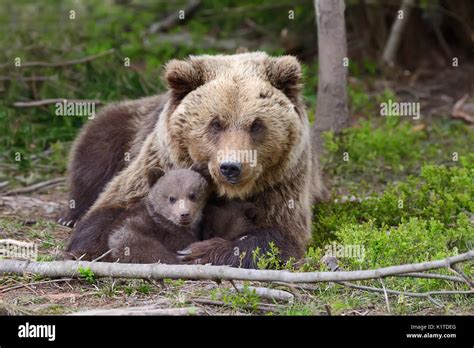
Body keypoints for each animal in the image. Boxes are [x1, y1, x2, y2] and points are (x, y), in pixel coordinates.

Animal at [64, 51, 326, 266]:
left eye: (256, 125)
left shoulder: (283, 183)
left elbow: (278, 236)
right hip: (126, 126)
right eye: (216, 123)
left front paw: (198, 252)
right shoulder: (160, 162)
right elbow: (106, 212)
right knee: (95, 151)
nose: (231, 167)